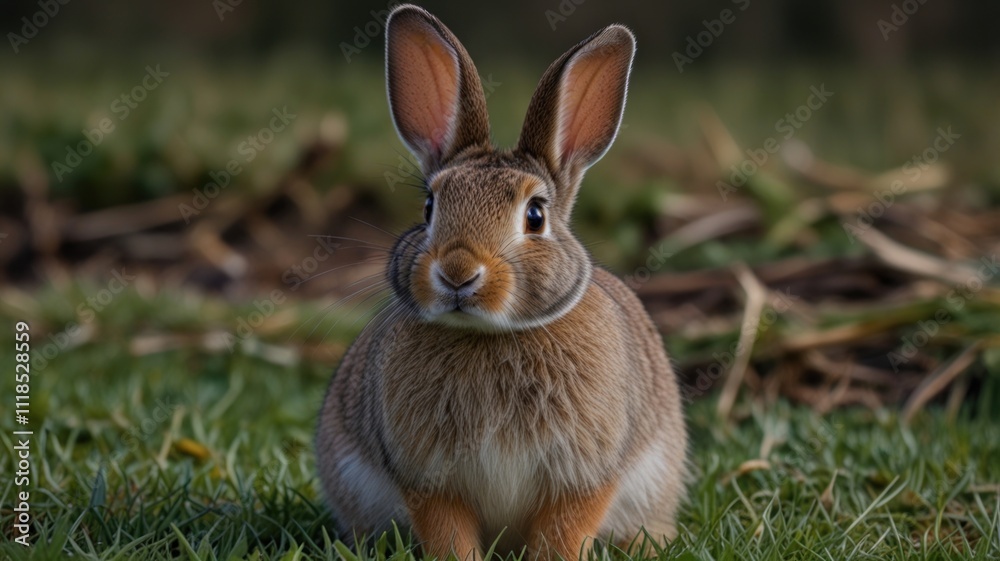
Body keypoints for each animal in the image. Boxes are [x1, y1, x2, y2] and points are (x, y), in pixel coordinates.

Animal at [316, 4, 688, 559]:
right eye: (429, 206)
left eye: (535, 215)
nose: (457, 272)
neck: (490, 336)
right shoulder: (428, 480)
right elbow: (448, 531)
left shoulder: (586, 474)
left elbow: (565, 528)